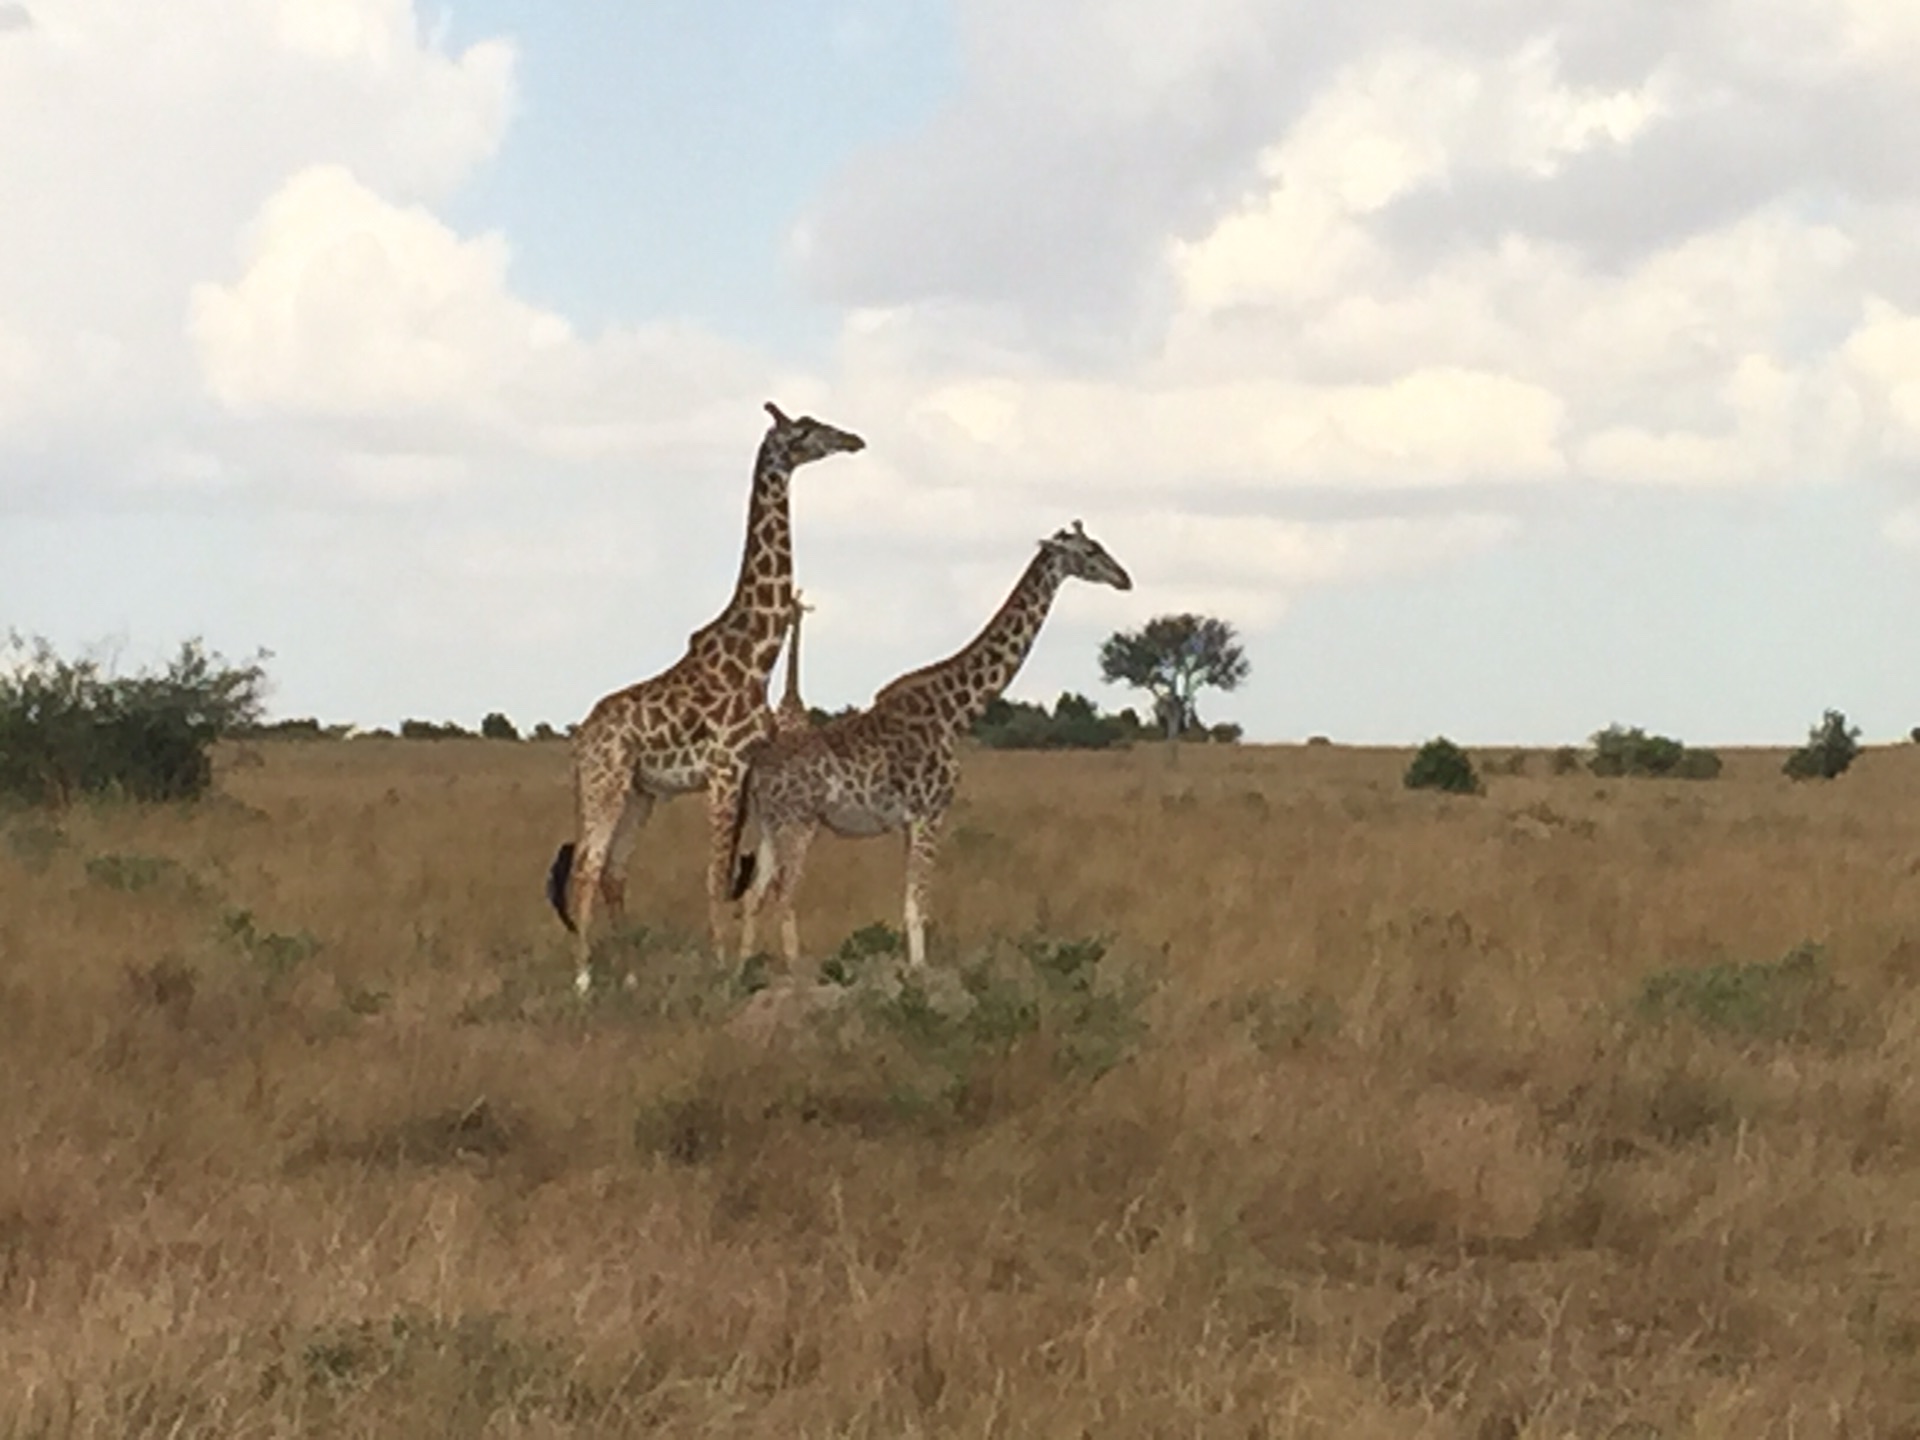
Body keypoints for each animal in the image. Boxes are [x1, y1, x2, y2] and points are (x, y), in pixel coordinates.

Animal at [545, 407, 867, 990]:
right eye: (806, 430)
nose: (854, 439)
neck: (756, 659)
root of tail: (580, 741)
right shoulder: (723, 770)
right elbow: (716, 876)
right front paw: (721, 972)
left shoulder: (746, 773)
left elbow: (742, 876)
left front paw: (741, 964)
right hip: (606, 781)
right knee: (586, 866)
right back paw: (583, 980)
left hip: (640, 793)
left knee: (614, 871)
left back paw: (629, 974)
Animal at [729, 518, 1121, 971]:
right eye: (1090, 551)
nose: (1124, 579)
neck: (955, 712)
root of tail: (756, 771)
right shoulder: (930, 812)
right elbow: (919, 907)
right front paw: (918, 973)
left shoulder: (908, 822)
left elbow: (909, 903)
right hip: (800, 822)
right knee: (783, 894)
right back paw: (794, 972)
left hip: (769, 824)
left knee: (755, 895)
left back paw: (741, 971)